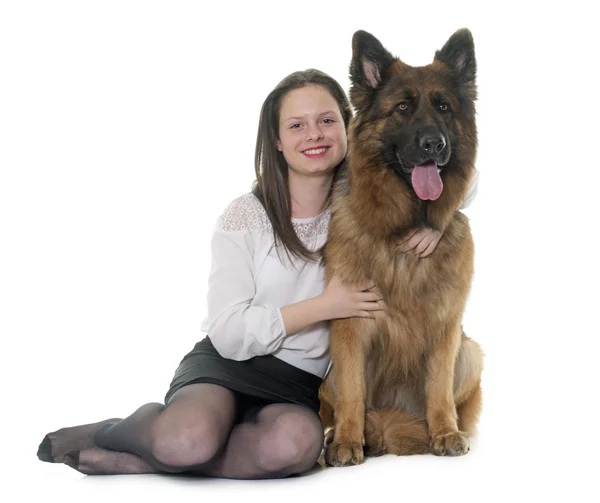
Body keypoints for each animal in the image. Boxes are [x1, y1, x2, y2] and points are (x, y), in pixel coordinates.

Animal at [318, 28, 482, 468]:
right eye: (403, 107)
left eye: (443, 107)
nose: (434, 144)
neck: (401, 230)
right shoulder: (350, 326)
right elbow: (353, 392)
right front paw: (348, 440)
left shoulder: (446, 325)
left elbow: (438, 386)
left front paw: (444, 432)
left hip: (470, 351)